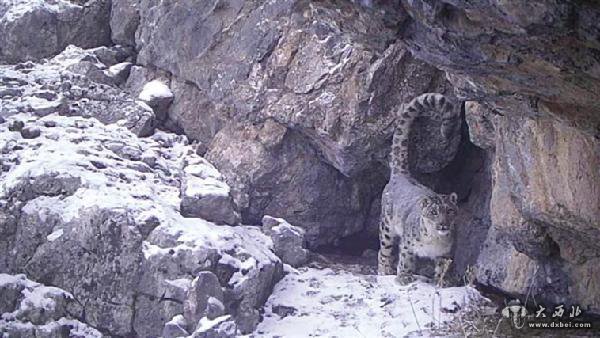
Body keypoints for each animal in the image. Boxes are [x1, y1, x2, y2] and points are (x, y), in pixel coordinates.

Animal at [380, 93, 460, 286]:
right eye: (433, 212)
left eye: (450, 211)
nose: (443, 224)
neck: (435, 240)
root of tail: (401, 174)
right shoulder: (407, 244)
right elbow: (405, 259)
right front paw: (403, 277)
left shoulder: (446, 252)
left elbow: (443, 266)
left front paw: (443, 281)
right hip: (386, 225)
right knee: (383, 249)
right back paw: (384, 269)